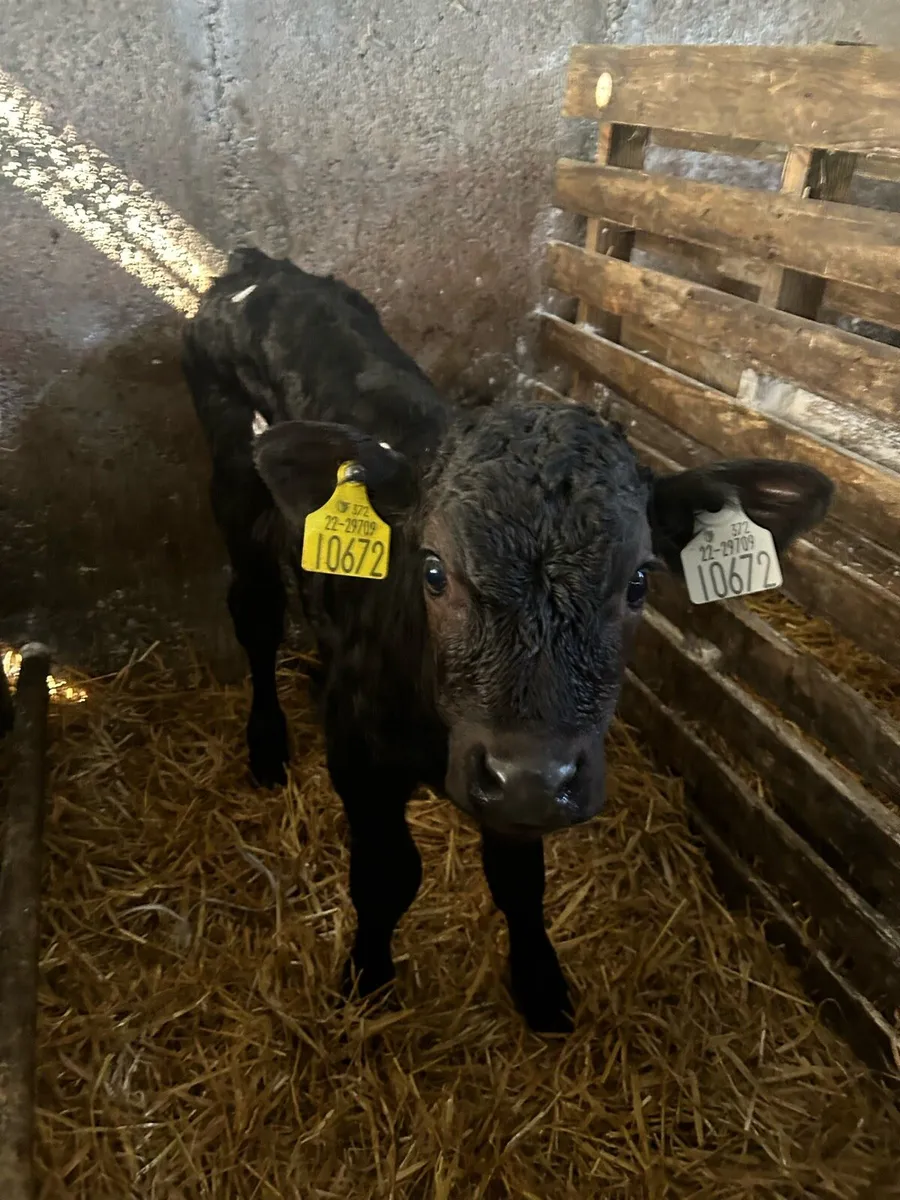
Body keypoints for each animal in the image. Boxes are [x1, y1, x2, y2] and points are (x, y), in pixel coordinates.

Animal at [182, 247, 833, 1033]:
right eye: (433, 570)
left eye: (639, 581)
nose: (528, 775)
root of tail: (258, 266)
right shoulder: (362, 760)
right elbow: (387, 875)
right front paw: (368, 977)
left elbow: (520, 882)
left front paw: (540, 984)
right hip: (232, 489)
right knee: (255, 613)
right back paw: (267, 743)